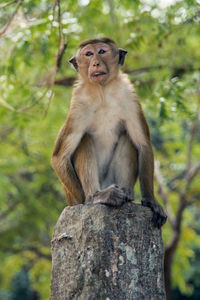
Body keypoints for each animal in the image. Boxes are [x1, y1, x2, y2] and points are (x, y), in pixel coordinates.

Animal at [50, 38, 166, 227]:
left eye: (102, 51)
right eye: (88, 54)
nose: (95, 63)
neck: (102, 91)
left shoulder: (129, 95)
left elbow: (143, 144)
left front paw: (151, 202)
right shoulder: (78, 103)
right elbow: (59, 156)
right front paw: (87, 200)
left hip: (111, 179)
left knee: (128, 136)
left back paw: (126, 193)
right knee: (84, 139)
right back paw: (98, 196)